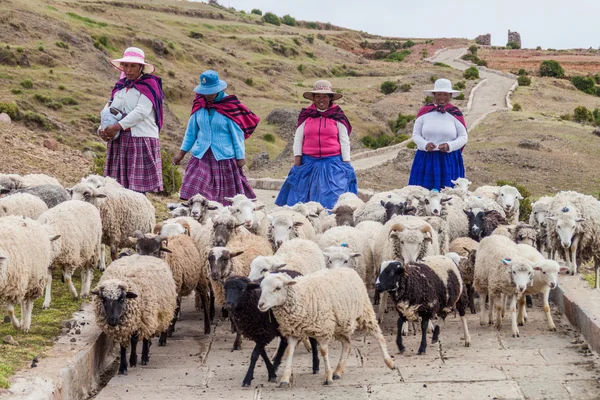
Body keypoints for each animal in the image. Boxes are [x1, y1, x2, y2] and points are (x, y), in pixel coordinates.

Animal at [256, 268, 394, 386]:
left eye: (278, 288)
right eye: (261, 287)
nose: (260, 304)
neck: (300, 295)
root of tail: (349, 269)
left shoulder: (323, 329)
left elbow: (323, 351)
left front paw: (328, 377)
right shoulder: (294, 330)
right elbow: (289, 352)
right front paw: (285, 379)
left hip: (365, 312)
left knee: (378, 335)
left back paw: (389, 362)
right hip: (340, 324)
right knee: (347, 344)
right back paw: (338, 371)